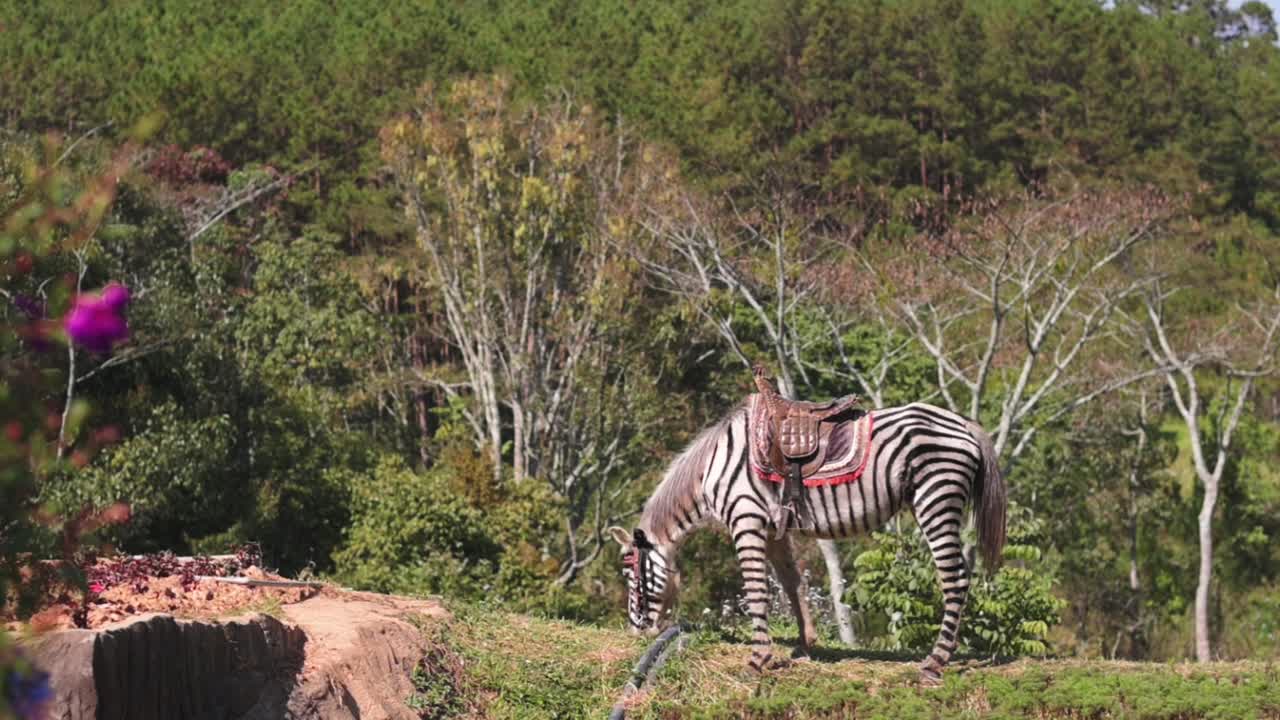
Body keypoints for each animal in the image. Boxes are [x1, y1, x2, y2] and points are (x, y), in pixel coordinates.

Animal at [609, 397, 1006, 683]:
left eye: (630, 574)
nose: (636, 631)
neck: (712, 468)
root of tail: (962, 422)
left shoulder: (746, 520)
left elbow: (757, 592)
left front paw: (757, 660)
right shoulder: (773, 529)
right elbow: (792, 583)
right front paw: (805, 644)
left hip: (935, 498)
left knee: (955, 579)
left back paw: (935, 663)